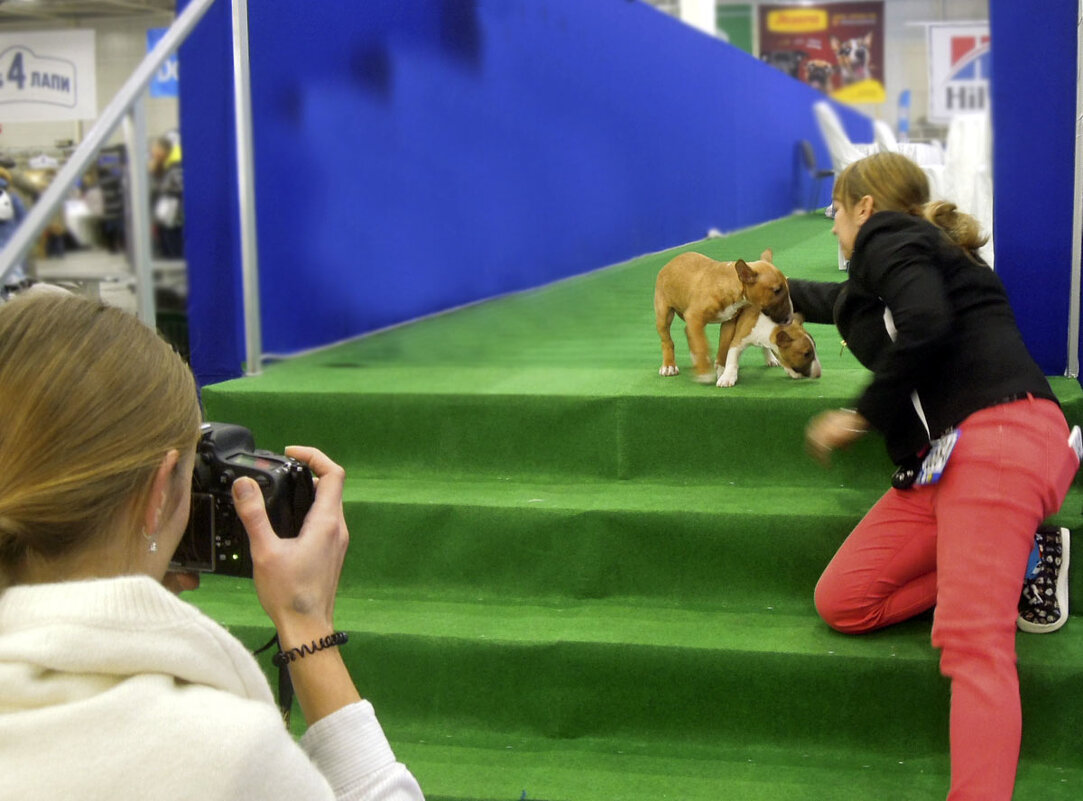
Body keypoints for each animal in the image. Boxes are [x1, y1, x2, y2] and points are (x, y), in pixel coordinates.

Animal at [649, 250, 797, 385]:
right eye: (776, 290)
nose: (789, 319)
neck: (728, 283)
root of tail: (668, 264)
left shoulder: (728, 321)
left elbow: (724, 345)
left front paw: (721, 369)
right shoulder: (694, 316)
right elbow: (702, 344)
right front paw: (705, 373)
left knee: (688, 331)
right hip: (664, 314)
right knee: (667, 340)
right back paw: (669, 366)